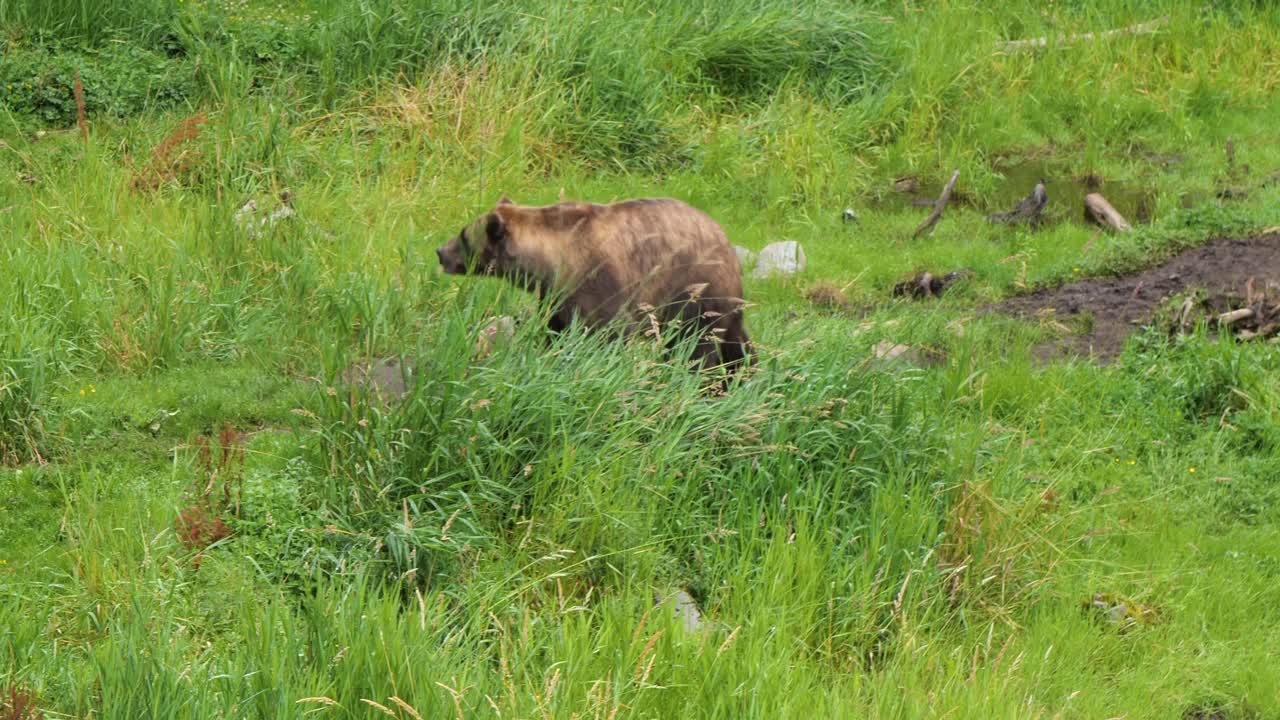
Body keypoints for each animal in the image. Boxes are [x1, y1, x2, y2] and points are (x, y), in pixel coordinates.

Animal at [435, 196, 752, 381]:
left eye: (463, 235)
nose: (441, 252)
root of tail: (727, 244)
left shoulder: (600, 283)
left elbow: (607, 334)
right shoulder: (557, 295)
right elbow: (555, 328)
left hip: (697, 290)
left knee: (698, 345)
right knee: (737, 344)